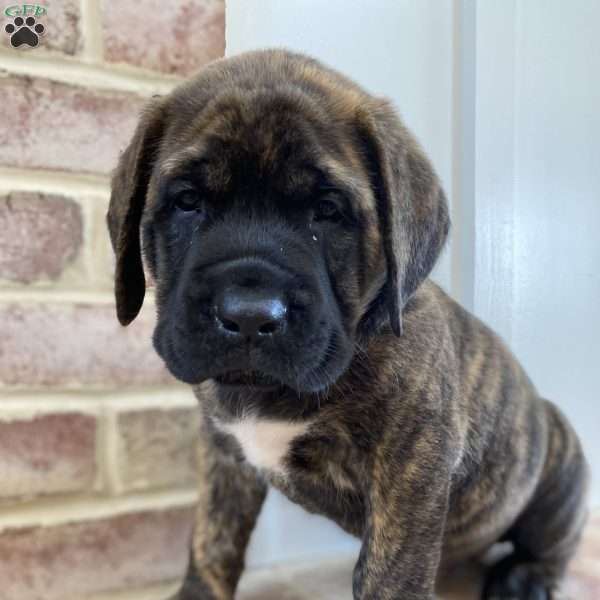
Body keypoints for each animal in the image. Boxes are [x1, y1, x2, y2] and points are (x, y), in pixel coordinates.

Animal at [109, 48, 592, 600]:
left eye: (328, 211)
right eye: (187, 201)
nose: (249, 314)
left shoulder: (410, 467)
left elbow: (389, 573)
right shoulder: (225, 457)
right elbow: (214, 539)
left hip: (559, 465)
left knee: (552, 542)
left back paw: (524, 579)